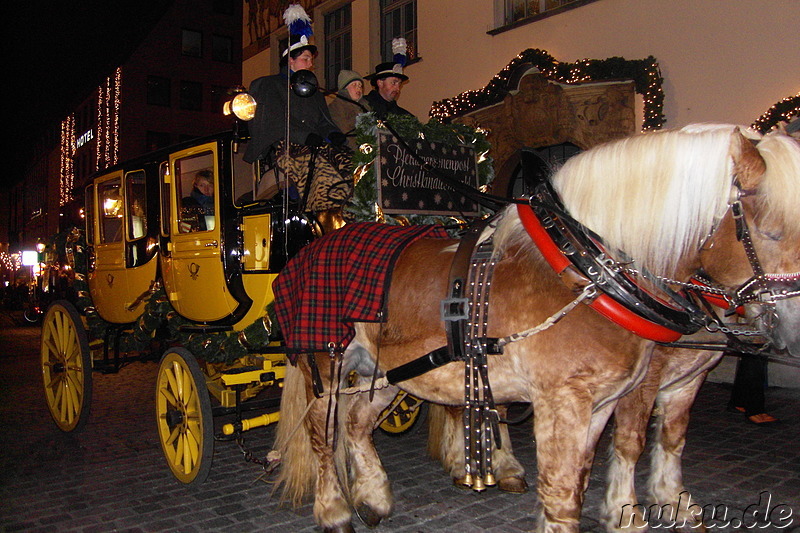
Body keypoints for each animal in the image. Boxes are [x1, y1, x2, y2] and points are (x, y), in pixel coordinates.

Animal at [268, 125, 800, 532]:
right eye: (771, 231)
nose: (793, 330)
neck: (586, 271)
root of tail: (317, 244)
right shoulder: (568, 402)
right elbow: (572, 485)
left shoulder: (604, 403)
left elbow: (589, 475)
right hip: (327, 363)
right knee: (322, 432)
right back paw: (334, 509)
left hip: (386, 370)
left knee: (357, 424)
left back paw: (374, 497)